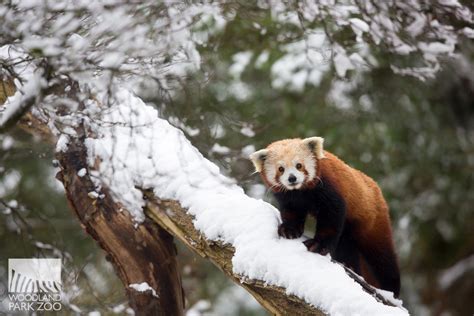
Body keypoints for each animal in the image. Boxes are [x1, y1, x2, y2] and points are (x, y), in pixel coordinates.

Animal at [250, 137, 402, 298]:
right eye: (281, 169)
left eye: (299, 165)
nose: (292, 178)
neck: (300, 192)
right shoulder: (289, 198)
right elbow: (291, 213)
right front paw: (289, 230)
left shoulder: (329, 189)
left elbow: (331, 218)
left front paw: (318, 245)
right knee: (348, 247)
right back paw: (350, 265)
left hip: (372, 221)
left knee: (382, 258)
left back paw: (391, 289)